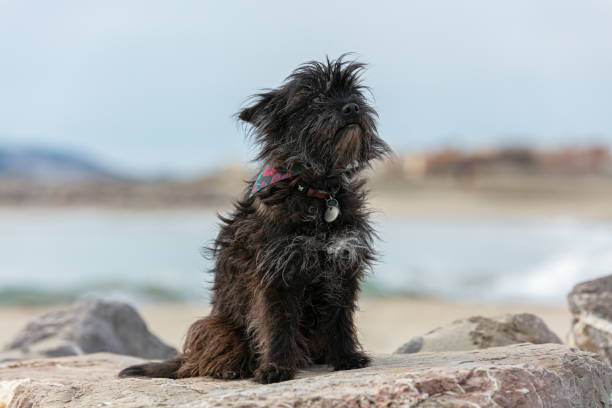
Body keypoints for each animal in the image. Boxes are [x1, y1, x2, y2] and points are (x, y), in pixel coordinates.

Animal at [117, 56, 390, 382]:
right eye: (315, 99)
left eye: (354, 93)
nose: (352, 108)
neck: (317, 191)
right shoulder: (274, 274)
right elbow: (276, 323)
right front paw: (276, 367)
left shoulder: (343, 266)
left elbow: (339, 318)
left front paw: (345, 357)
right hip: (216, 327)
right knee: (200, 362)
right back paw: (230, 369)